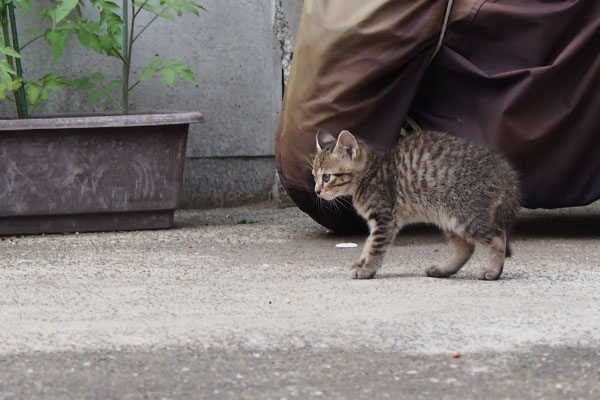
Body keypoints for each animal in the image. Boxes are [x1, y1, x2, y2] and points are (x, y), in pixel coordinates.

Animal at [314, 130, 520, 280]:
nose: (316, 191)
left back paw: (493, 270)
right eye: (314, 176)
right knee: (466, 248)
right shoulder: (380, 222)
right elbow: (369, 243)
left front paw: (367, 269)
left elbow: (375, 247)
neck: (370, 173)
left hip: (465, 215)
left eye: (327, 177)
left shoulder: (385, 219)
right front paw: (362, 262)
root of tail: (507, 173)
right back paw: (443, 270)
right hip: (447, 217)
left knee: (498, 237)